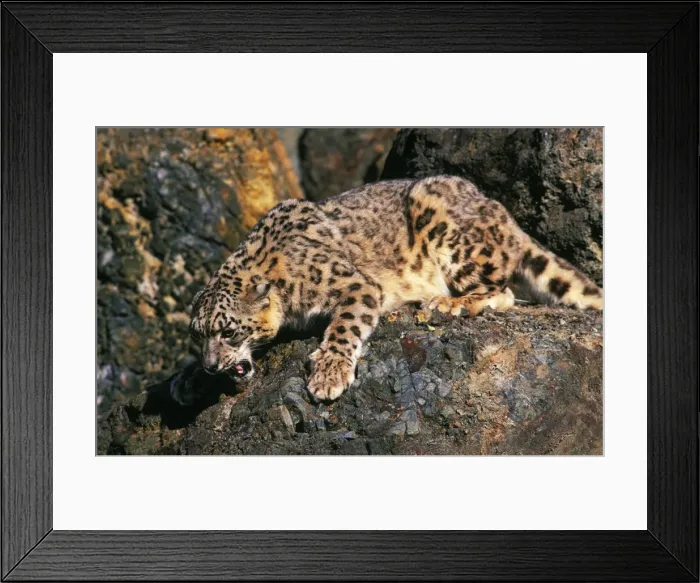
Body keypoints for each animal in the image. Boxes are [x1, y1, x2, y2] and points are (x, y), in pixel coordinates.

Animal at [183, 175, 602, 403]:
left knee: (504, 291)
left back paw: (449, 303)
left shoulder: (354, 284)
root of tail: (503, 213)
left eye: (228, 331)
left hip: (448, 228)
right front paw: (188, 381)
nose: (210, 365)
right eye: (198, 336)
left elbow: (344, 326)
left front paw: (329, 375)